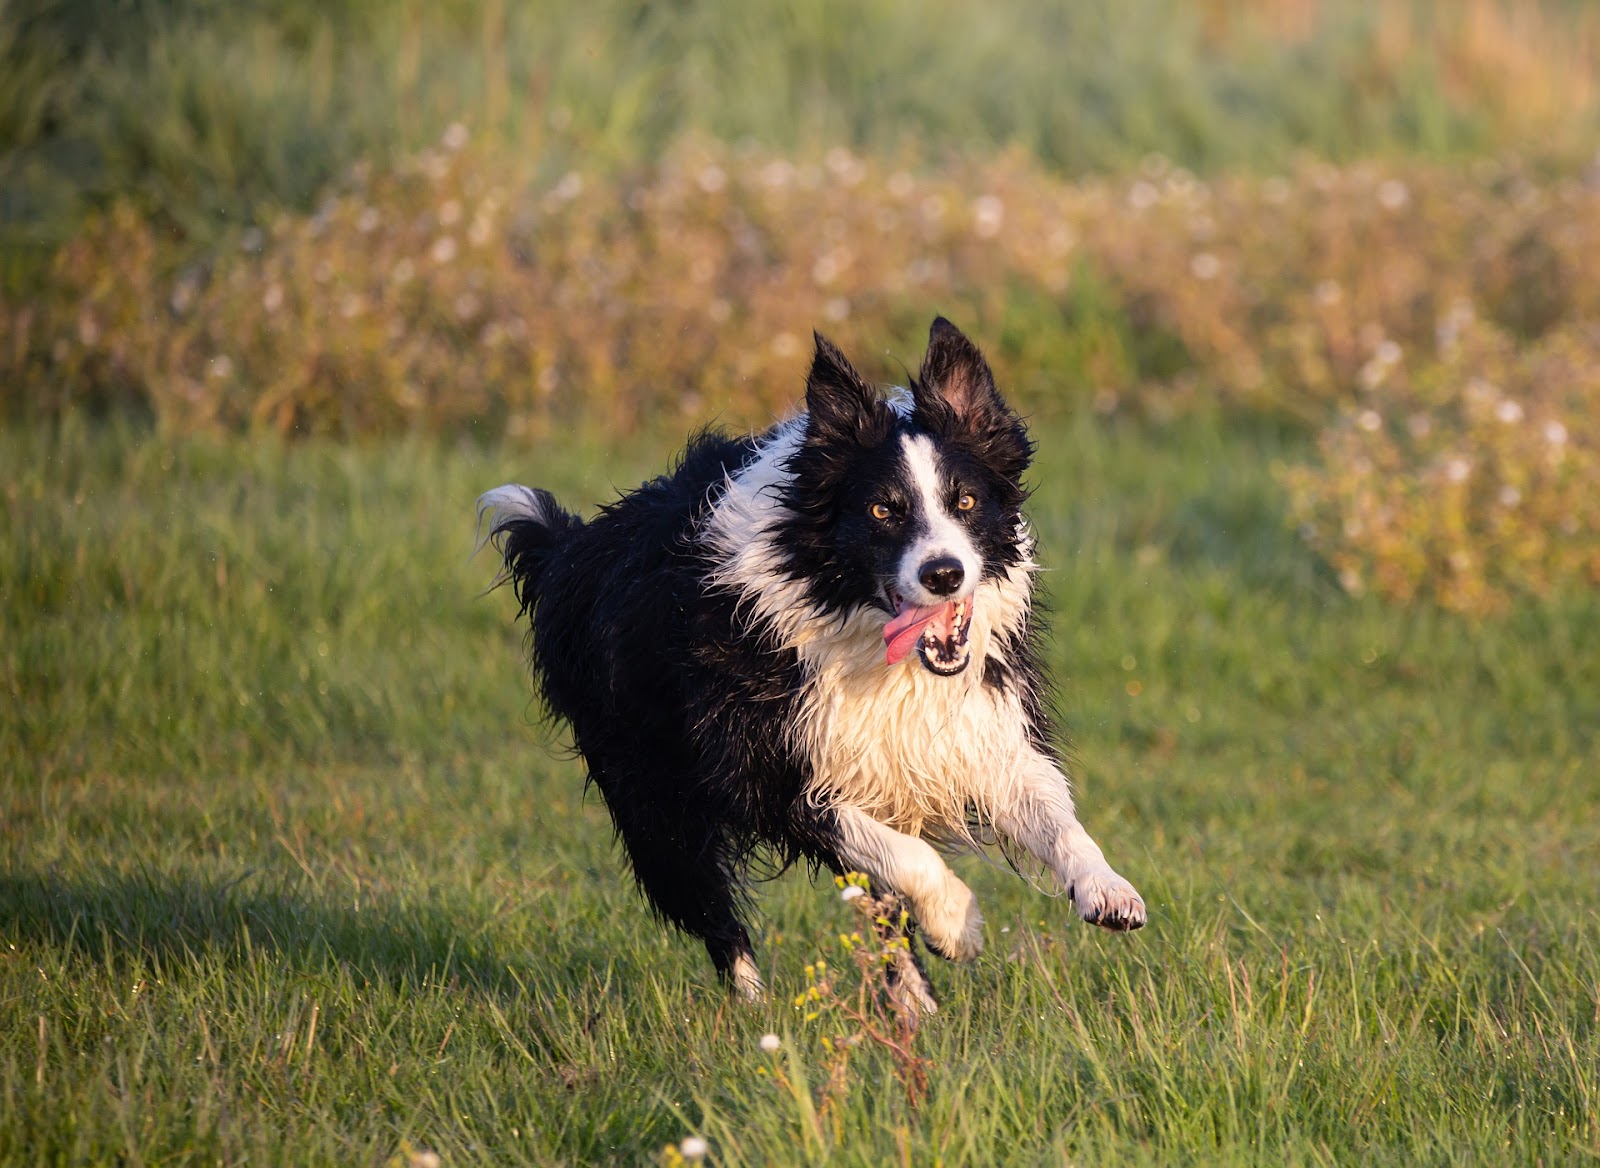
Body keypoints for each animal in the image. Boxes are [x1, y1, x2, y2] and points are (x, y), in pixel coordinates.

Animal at [480, 318, 1145, 998]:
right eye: (882, 510)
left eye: (965, 502)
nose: (943, 574)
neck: (865, 636)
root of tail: (569, 549)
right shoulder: (768, 767)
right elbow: (904, 855)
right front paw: (957, 924)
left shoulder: (976, 725)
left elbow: (1052, 812)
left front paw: (1107, 890)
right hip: (651, 796)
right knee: (714, 913)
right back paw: (758, 1008)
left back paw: (913, 1006)